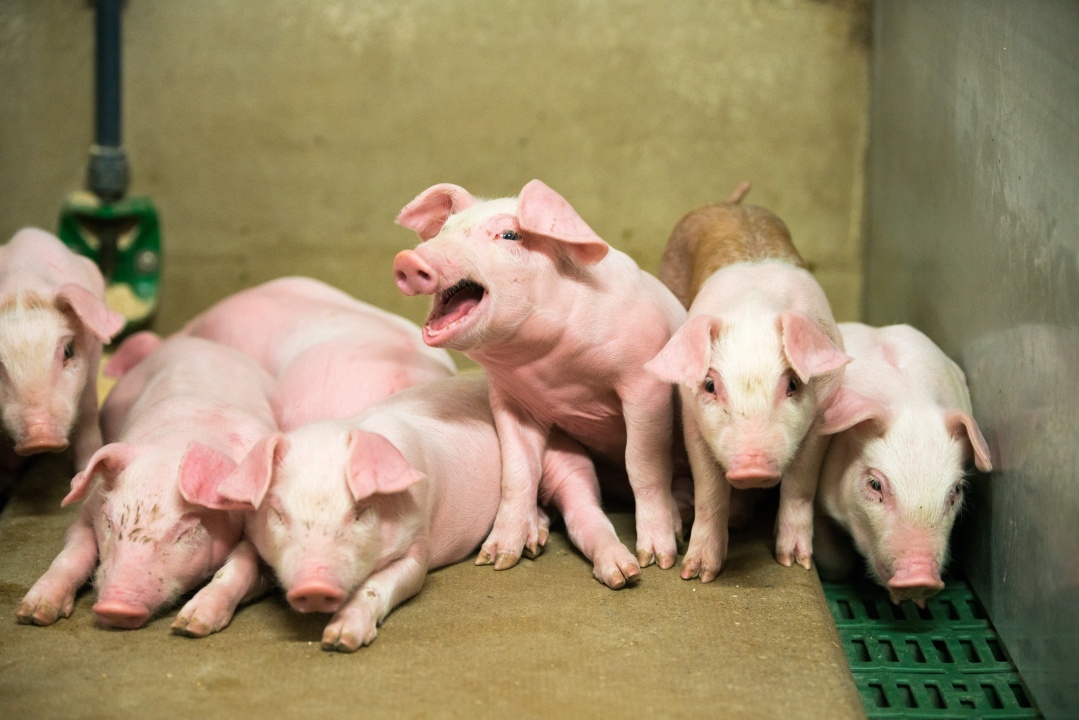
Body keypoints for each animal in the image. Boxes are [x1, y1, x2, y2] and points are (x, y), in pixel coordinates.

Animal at [0, 228, 124, 477]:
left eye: (68, 351)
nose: (40, 439)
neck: (21, 286)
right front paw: (7, 474)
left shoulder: (94, 353)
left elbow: (87, 409)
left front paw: (85, 467)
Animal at [15, 336, 277, 630]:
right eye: (109, 521)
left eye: (187, 532)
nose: (115, 607)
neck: (179, 443)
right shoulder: (87, 510)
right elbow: (72, 554)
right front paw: (33, 614)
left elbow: (241, 568)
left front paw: (191, 624)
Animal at [181, 374, 639, 651]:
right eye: (278, 511)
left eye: (359, 512)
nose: (313, 584)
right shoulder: (254, 542)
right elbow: (233, 570)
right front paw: (189, 624)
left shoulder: (418, 548)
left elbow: (385, 584)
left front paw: (341, 640)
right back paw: (534, 542)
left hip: (565, 456)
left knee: (585, 512)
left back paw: (624, 573)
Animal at [392, 180, 687, 575]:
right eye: (444, 230)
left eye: (510, 234)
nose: (408, 260)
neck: (556, 371)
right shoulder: (511, 400)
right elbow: (517, 473)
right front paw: (495, 559)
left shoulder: (645, 381)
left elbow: (643, 464)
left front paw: (658, 560)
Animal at [645, 186, 849, 581]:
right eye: (710, 386)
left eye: (792, 384)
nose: (752, 466)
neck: (753, 309)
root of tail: (731, 204)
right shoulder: (692, 418)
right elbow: (709, 491)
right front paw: (696, 574)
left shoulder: (823, 414)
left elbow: (801, 482)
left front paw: (794, 562)